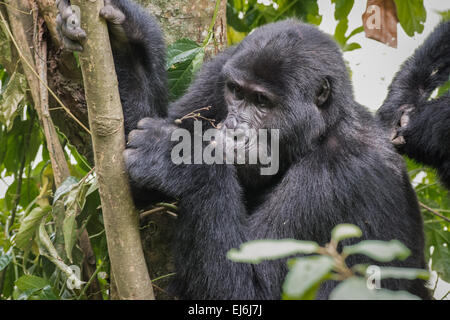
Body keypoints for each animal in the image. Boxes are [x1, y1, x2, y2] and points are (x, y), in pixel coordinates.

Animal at [56, 0, 428, 300]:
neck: (319, 133)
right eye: (237, 93)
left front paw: (183, 161)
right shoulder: (218, 73)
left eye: (262, 102)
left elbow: (252, 288)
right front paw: (125, 36)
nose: (234, 128)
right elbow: (126, 172)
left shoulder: (343, 172)